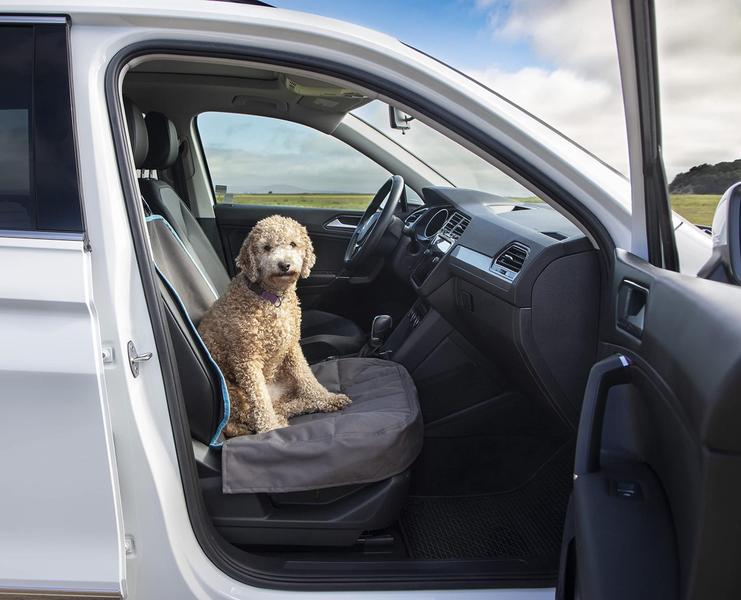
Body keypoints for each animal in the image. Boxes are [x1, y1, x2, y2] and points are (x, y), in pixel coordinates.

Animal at [198, 216, 352, 436]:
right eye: (266, 247)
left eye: (293, 244)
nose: (284, 264)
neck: (271, 298)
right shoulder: (247, 360)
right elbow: (260, 400)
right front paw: (270, 428)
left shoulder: (292, 346)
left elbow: (307, 377)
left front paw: (326, 398)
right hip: (234, 394)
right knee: (253, 413)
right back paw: (277, 421)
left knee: (285, 405)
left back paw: (310, 404)